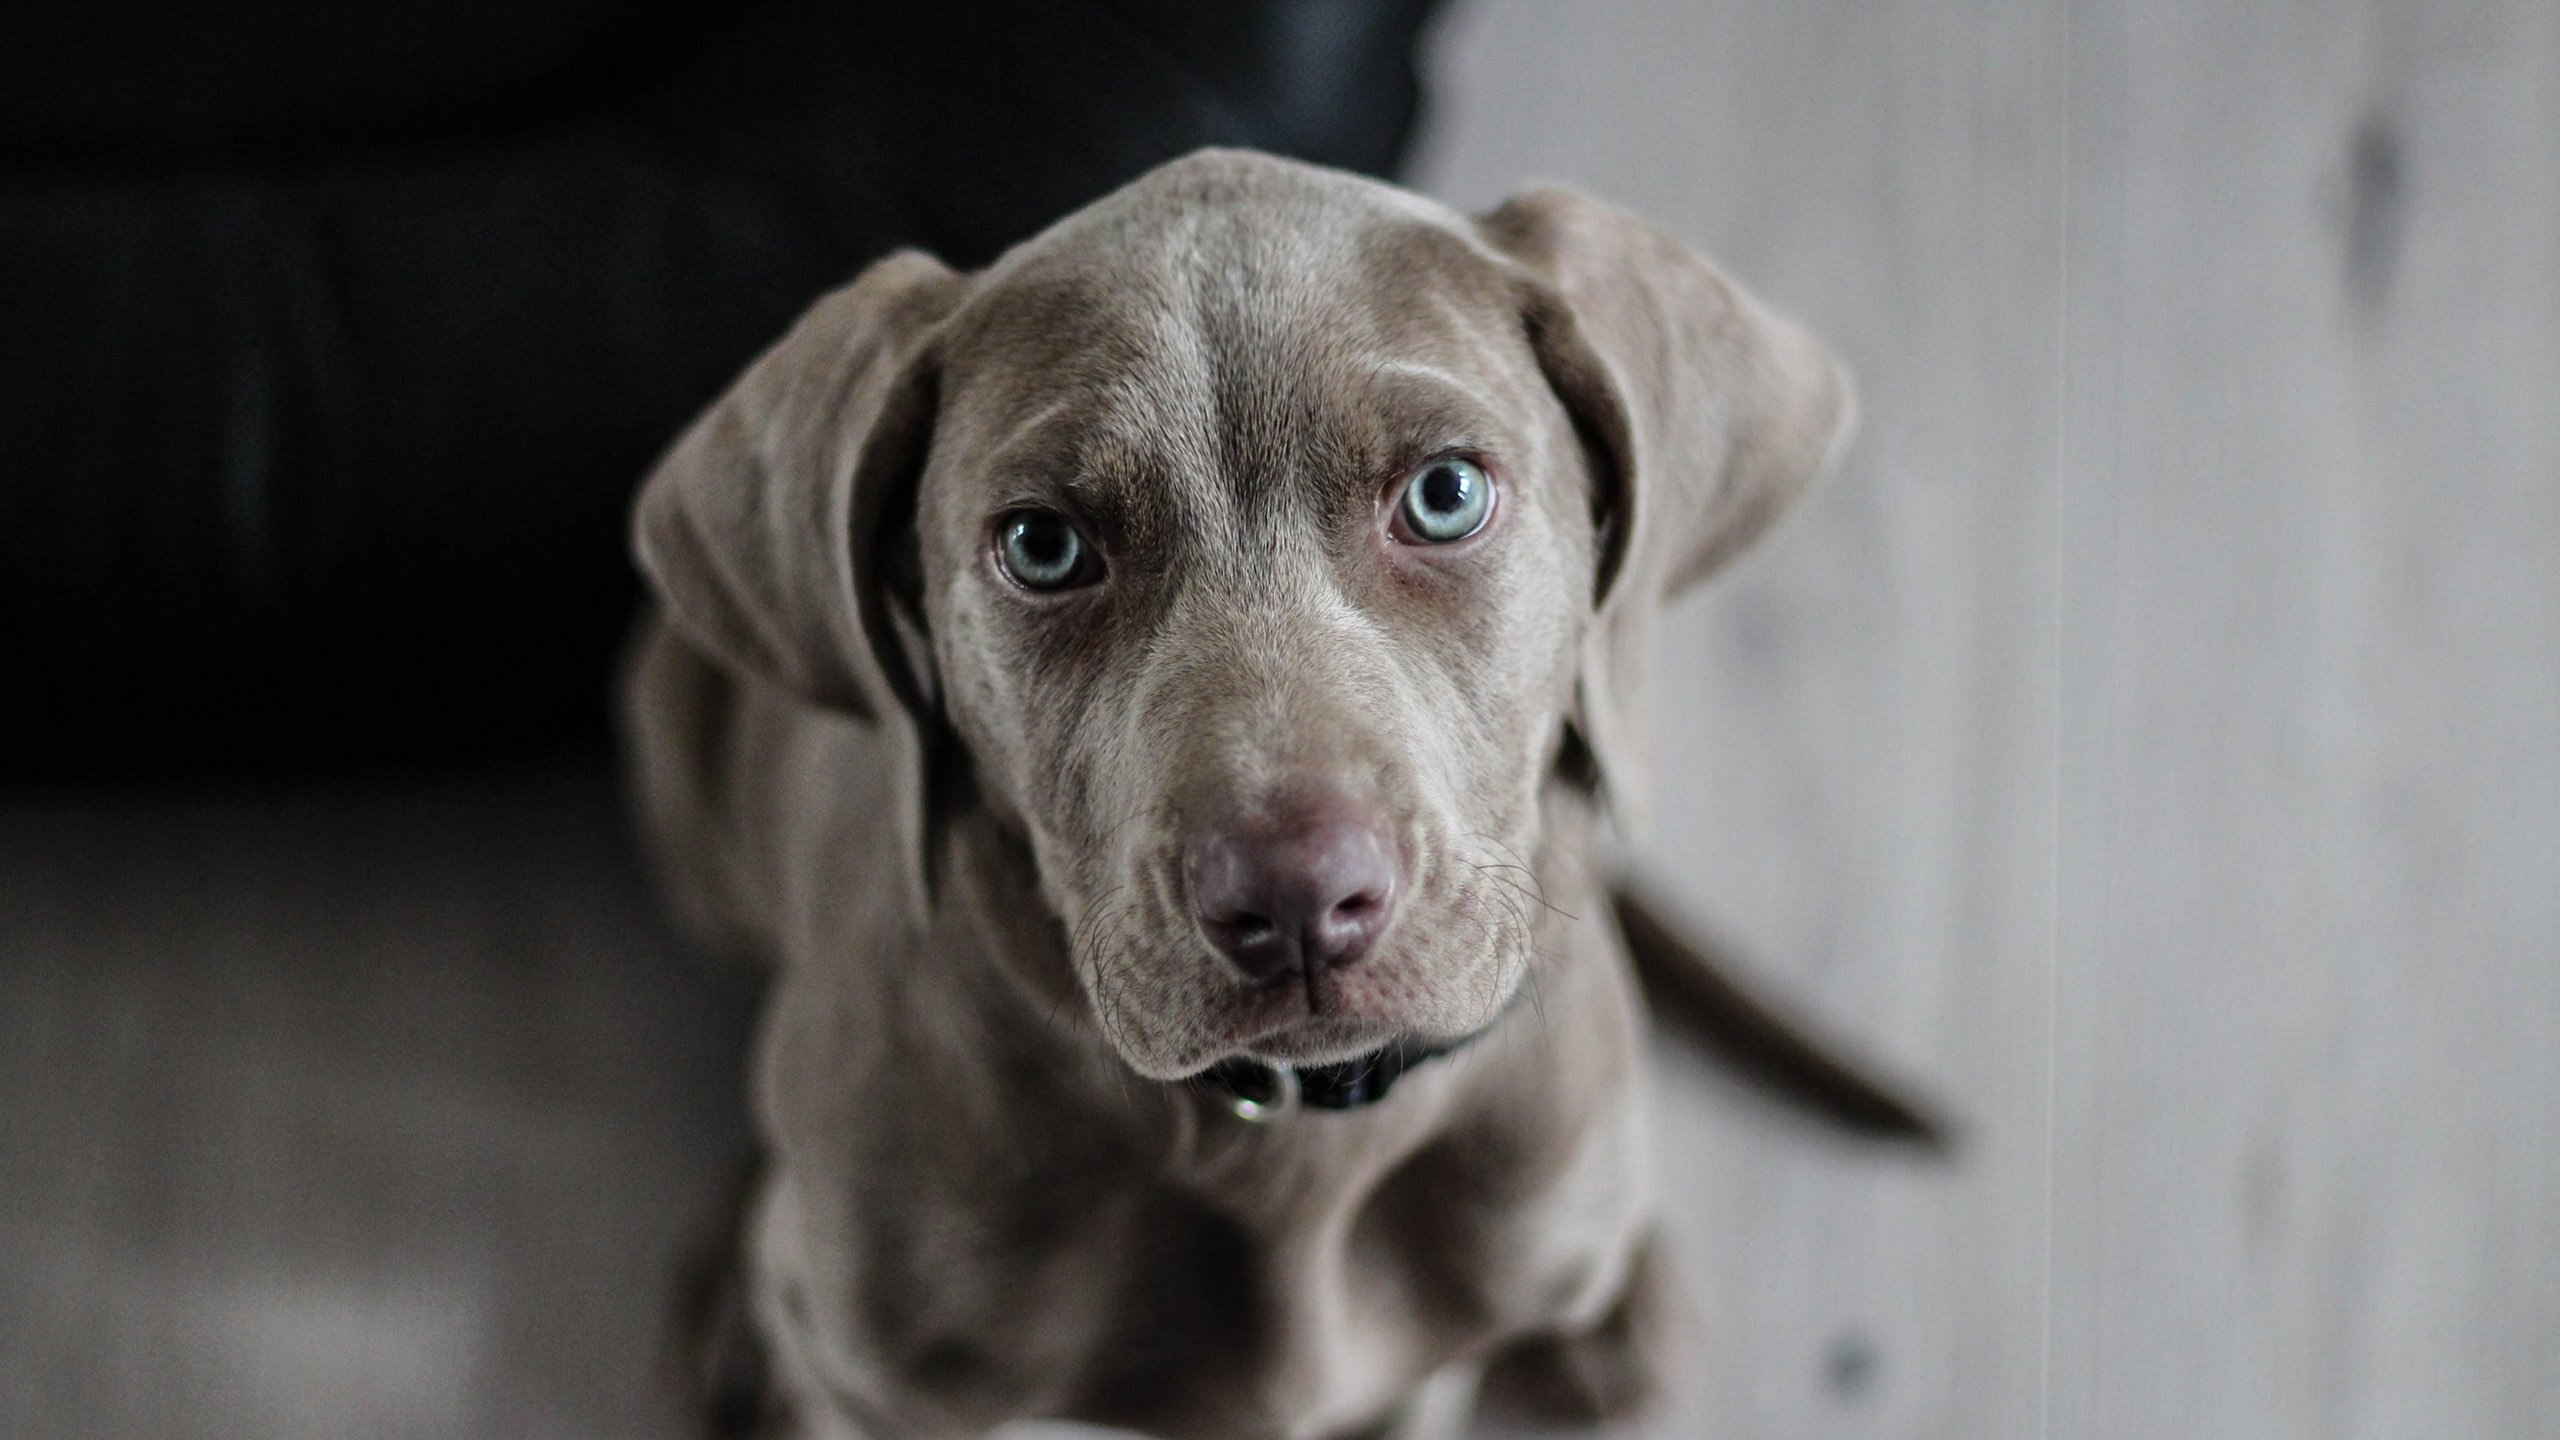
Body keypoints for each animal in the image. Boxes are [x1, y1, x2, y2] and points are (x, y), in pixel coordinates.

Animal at [619, 148, 1863, 1434]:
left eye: (1446, 494)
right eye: (1042, 547)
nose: (1298, 900)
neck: (1292, 1143)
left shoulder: (1420, 1375)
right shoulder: (884, 1396)